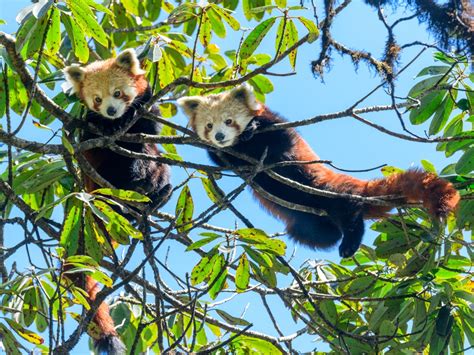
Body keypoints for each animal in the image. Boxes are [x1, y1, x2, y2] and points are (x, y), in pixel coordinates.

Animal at [64, 49, 172, 354]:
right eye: (97, 99)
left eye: (118, 93)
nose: (112, 111)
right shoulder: (91, 127)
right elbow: (95, 136)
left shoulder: (149, 110)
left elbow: (151, 129)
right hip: (102, 179)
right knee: (126, 159)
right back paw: (134, 185)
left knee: (155, 158)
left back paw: (157, 194)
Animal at [178, 85, 460, 260]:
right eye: (209, 125)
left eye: (229, 121)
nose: (220, 136)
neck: (244, 146)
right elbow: (222, 160)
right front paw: (218, 150)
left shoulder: (280, 129)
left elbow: (281, 140)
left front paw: (252, 127)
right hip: (309, 224)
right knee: (324, 235)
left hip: (329, 189)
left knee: (350, 210)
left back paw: (351, 239)